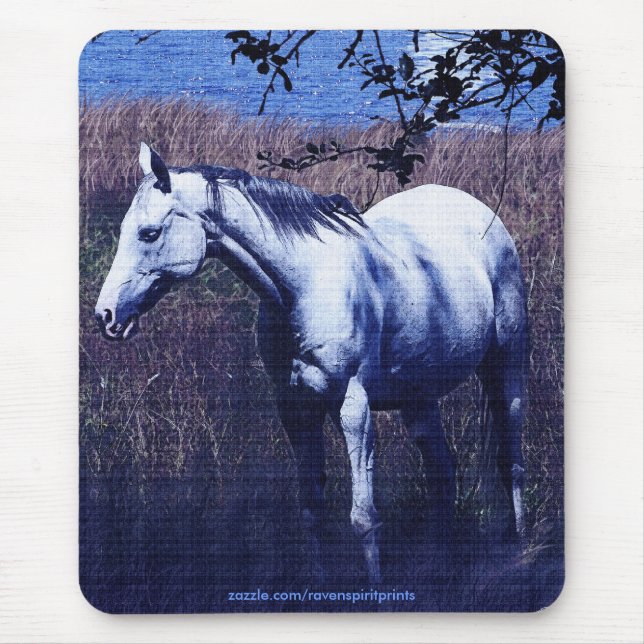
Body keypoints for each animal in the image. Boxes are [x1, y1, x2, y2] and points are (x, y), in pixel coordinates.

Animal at [95, 142, 528, 584]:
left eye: (149, 233)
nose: (106, 316)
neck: (305, 284)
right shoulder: (295, 407)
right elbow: (311, 510)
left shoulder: (352, 407)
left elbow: (363, 517)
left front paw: (375, 589)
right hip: (418, 399)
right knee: (443, 473)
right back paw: (443, 563)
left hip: (505, 366)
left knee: (510, 462)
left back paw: (518, 549)